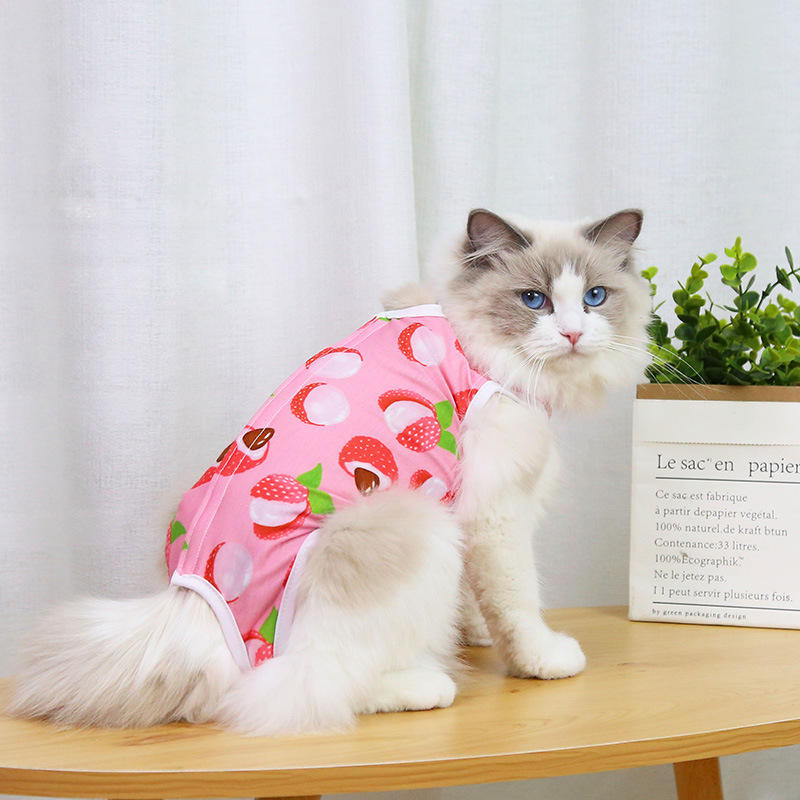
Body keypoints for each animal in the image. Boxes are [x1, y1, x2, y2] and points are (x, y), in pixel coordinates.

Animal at [8, 207, 651, 735]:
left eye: (595, 297)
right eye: (533, 301)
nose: (573, 333)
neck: (472, 341)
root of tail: (189, 618)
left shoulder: (473, 510)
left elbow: (479, 599)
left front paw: (473, 634)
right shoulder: (496, 511)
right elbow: (517, 603)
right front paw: (543, 660)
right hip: (412, 528)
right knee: (304, 688)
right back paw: (424, 685)